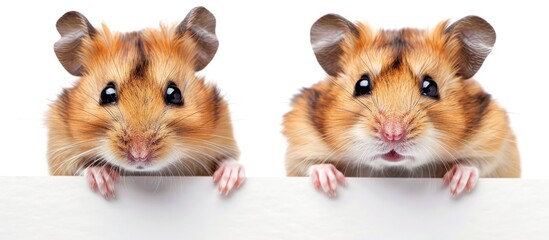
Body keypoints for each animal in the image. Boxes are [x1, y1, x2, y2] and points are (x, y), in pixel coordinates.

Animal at [47, 7, 244, 199]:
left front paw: (229, 180)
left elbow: (228, 158)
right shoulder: (59, 151)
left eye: (175, 94)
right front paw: (102, 179)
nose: (139, 156)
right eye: (106, 94)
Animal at [284, 14, 520, 197]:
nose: (393, 135)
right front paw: (329, 182)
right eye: (361, 85)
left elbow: (478, 163)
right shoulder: (300, 139)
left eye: (431, 87)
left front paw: (459, 182)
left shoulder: (496, 138)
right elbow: (308, 164)